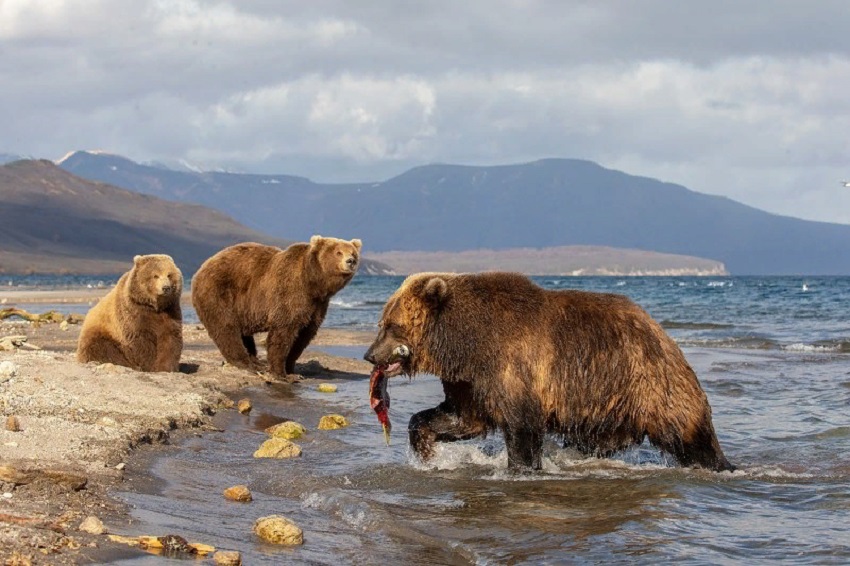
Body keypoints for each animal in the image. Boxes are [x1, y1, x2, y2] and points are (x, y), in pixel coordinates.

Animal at [190, 235, 360, 382]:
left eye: (353, 253)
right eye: (338, 252)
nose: (350, 261)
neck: (313, 283)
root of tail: (201, 269)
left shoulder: (316, 305)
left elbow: (304, 336)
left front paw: (292, 369)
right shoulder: (290, 293)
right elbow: (283, 333)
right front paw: (282, 374)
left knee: (242, 333)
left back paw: (255, 360)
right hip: (219, 292)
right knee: (226, 328)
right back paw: (248, 363)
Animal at [362, 272, 732, 472]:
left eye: (391, 325)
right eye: (382, 323)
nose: (368, 354)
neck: (464, 343)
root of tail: (662, 332)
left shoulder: (512, 365)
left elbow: (521, 426)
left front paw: (521, 467)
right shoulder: (470, 381)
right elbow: (461, 418)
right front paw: (426, 451)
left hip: (648, 380)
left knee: (689, 431)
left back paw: (719, 463)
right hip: (607, 407)